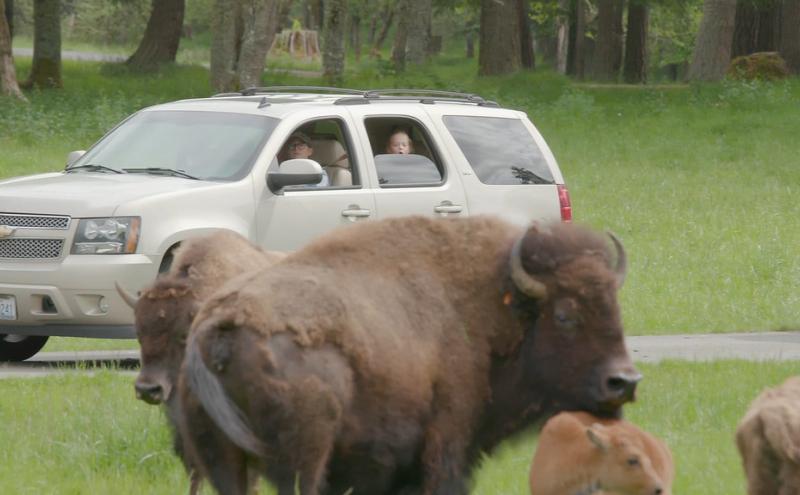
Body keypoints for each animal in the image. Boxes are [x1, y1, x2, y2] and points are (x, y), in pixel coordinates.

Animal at [177, 215, 641, 495]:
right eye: (565, 315)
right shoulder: (447, 445)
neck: (493, 305)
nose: (623, 382)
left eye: (614, 307)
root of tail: (214, 327)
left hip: (225, 461)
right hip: (302, 459)